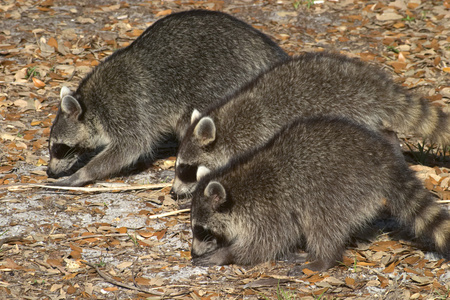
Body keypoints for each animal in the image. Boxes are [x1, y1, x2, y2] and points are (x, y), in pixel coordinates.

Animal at [47, 9, 286, 186]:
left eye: (58, 147)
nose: (49, 171)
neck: (90, 104)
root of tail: (268, 53)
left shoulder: (125, 108)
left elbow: (130, 147)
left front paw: (82, 174)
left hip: (219, 83)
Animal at [174, 51, 450, 196]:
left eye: (186, 169)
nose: (174, 192)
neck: (226, 127)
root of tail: (373, 84)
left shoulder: (257, 140)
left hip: (351, 109)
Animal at [192, 117, 450, 272]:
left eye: (201, 229)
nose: (192, 251)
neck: (236, 186)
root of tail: (385, 159)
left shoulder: (268, 208)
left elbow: (266, 242)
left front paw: (225, 254)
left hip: (341, 184)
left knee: (322, 219)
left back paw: (324, 258)